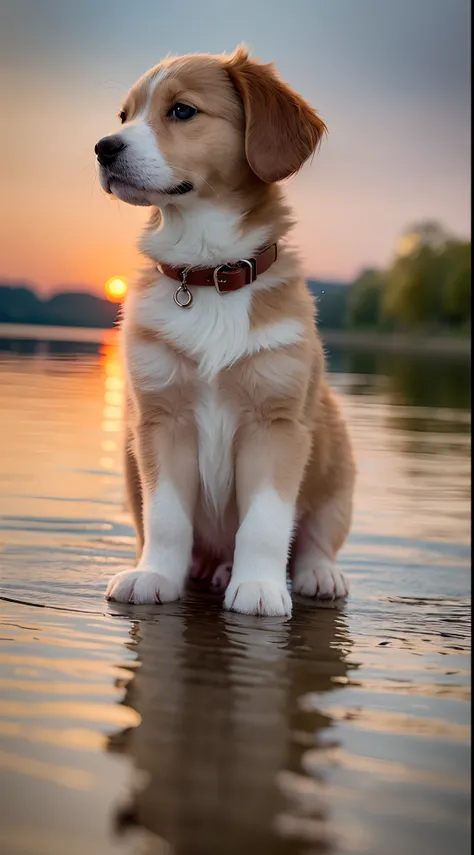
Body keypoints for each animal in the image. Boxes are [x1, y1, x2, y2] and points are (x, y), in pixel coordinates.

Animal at [96, 45, 354, 616]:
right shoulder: (161, 422)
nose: (102, 148)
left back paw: (316, 574)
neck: (208, 270)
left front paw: (258, 586)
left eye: (182, 111)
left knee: (317, 538)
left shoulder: (275, 425)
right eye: (124, 116)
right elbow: (167, 518)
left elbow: (265, 523)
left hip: (337, 463)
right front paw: (156, 576)